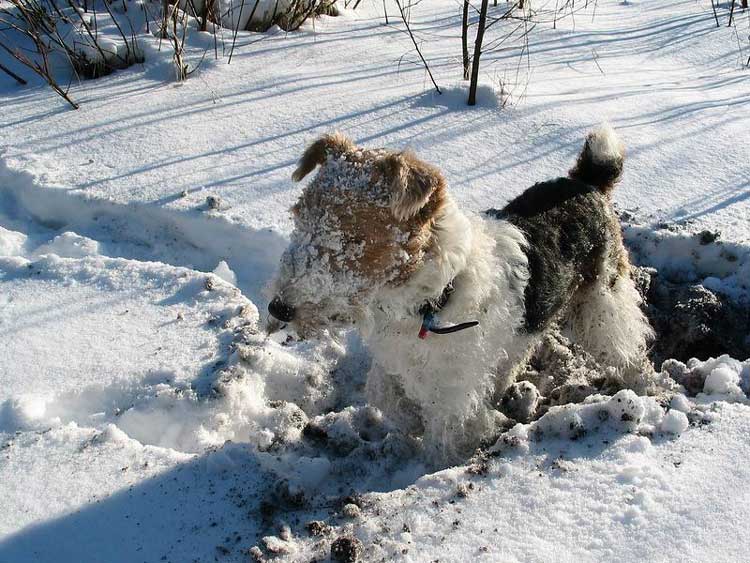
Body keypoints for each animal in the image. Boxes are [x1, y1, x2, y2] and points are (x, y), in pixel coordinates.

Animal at [268, 125, 656, 464]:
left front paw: (438, 462)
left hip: (601, 302)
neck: (434, 298)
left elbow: (444, 437)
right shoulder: (394, 357)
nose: (278, 308)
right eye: (298, 215)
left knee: (628, 346)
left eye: (354, 237)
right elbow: (383, 394)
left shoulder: (453, 390)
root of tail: (587, 181)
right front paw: (412, 420)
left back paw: (642, 388)